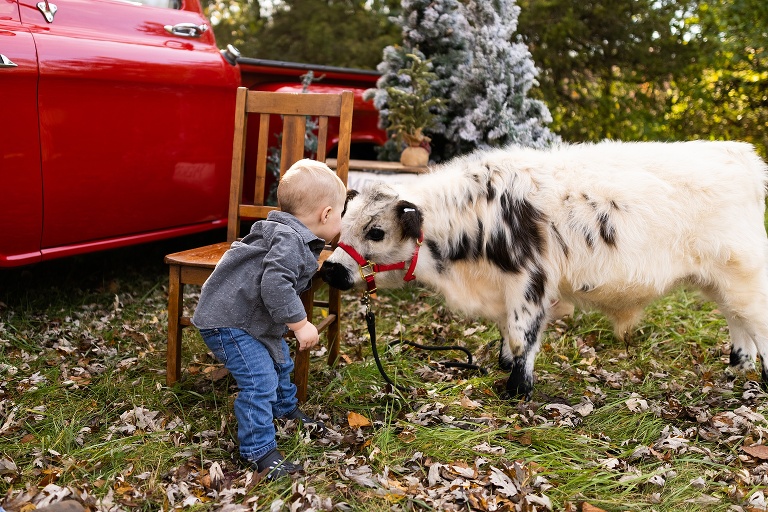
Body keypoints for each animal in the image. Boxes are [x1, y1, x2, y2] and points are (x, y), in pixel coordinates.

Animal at [320, 141, 768, 399]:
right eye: (343, 222)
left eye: (376, 231)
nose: (333, 272)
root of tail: (742, 156)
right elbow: (506, 330)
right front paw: (503, 366)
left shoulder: (530, 283)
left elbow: (523, 336)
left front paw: (517, 390)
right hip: (719, 280)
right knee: (736, 320)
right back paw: (738, 365)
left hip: (744, 272)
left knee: (755, 320)